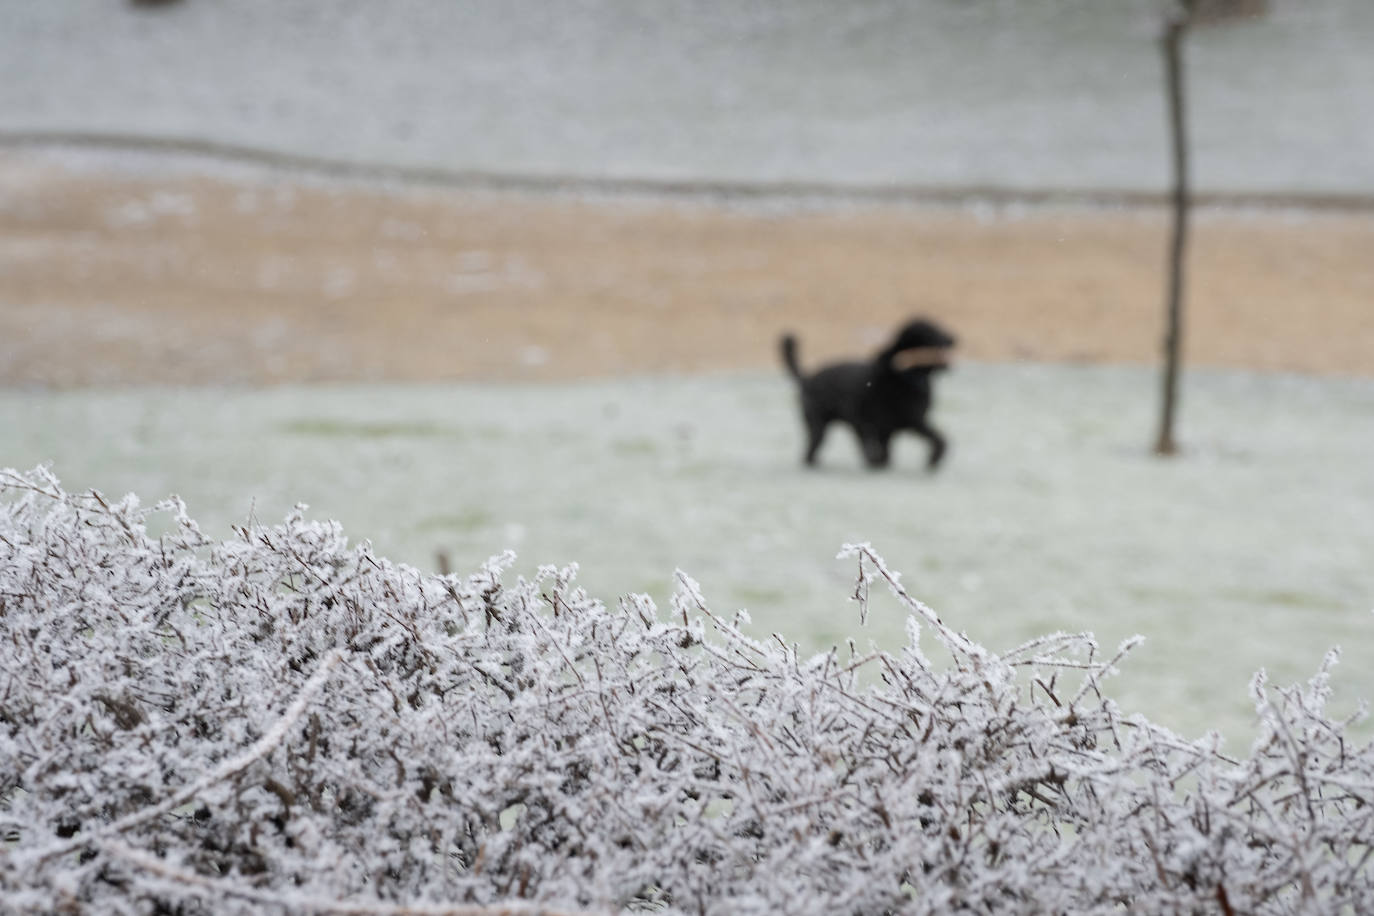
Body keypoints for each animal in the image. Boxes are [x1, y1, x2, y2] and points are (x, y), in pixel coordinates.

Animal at [780, 318, 961, 472]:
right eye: (932, 331)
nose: (953, 338)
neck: (903, 374)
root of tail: (807, 378)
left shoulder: (890, 428)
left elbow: (886, 453)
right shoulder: (912, 420)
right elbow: (939, 439)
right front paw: (933, 459)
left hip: (852, 424)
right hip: (820, 424)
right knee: (812, 449)